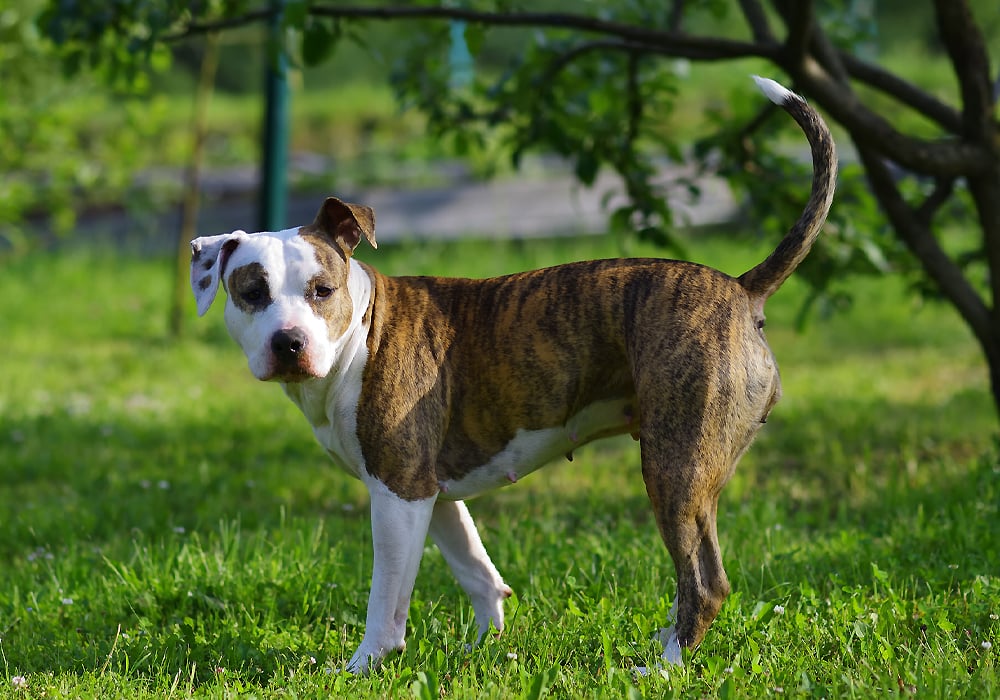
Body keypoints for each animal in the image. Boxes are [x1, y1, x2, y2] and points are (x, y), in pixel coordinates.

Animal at [189, 76, 836, 672]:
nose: (288, 343)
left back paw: (663, 665)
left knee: (704, 582)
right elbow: (475, 569)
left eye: (321, 291)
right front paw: (483, 649)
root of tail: (741, 289)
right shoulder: (428, 489)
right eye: (251, 292)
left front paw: (365, 666)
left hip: (677, 466)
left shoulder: (397, 493)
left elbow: (387, 600)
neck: (360, 336)